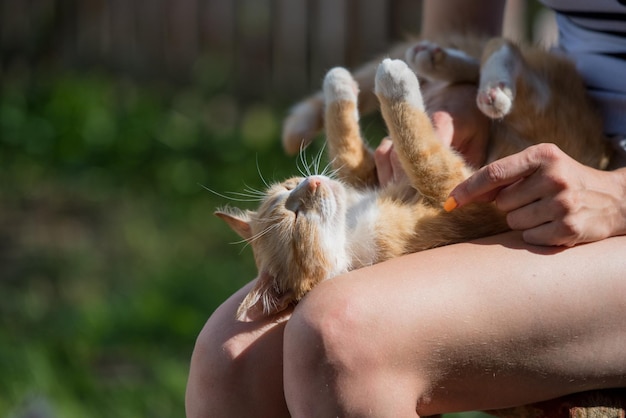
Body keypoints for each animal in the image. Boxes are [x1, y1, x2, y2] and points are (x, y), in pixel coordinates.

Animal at [217, 38, 608, 320]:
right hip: (540, 106)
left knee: (495, 49)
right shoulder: (464, 195)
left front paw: (337, 84)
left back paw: (437, 61)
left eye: (288, 190)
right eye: (295, 222)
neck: (349, 229)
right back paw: (484, 86)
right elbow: (421, 153)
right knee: (511, 55)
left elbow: (344, 147)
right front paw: (393, 83)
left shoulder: (366, 173)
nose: (310, 184)